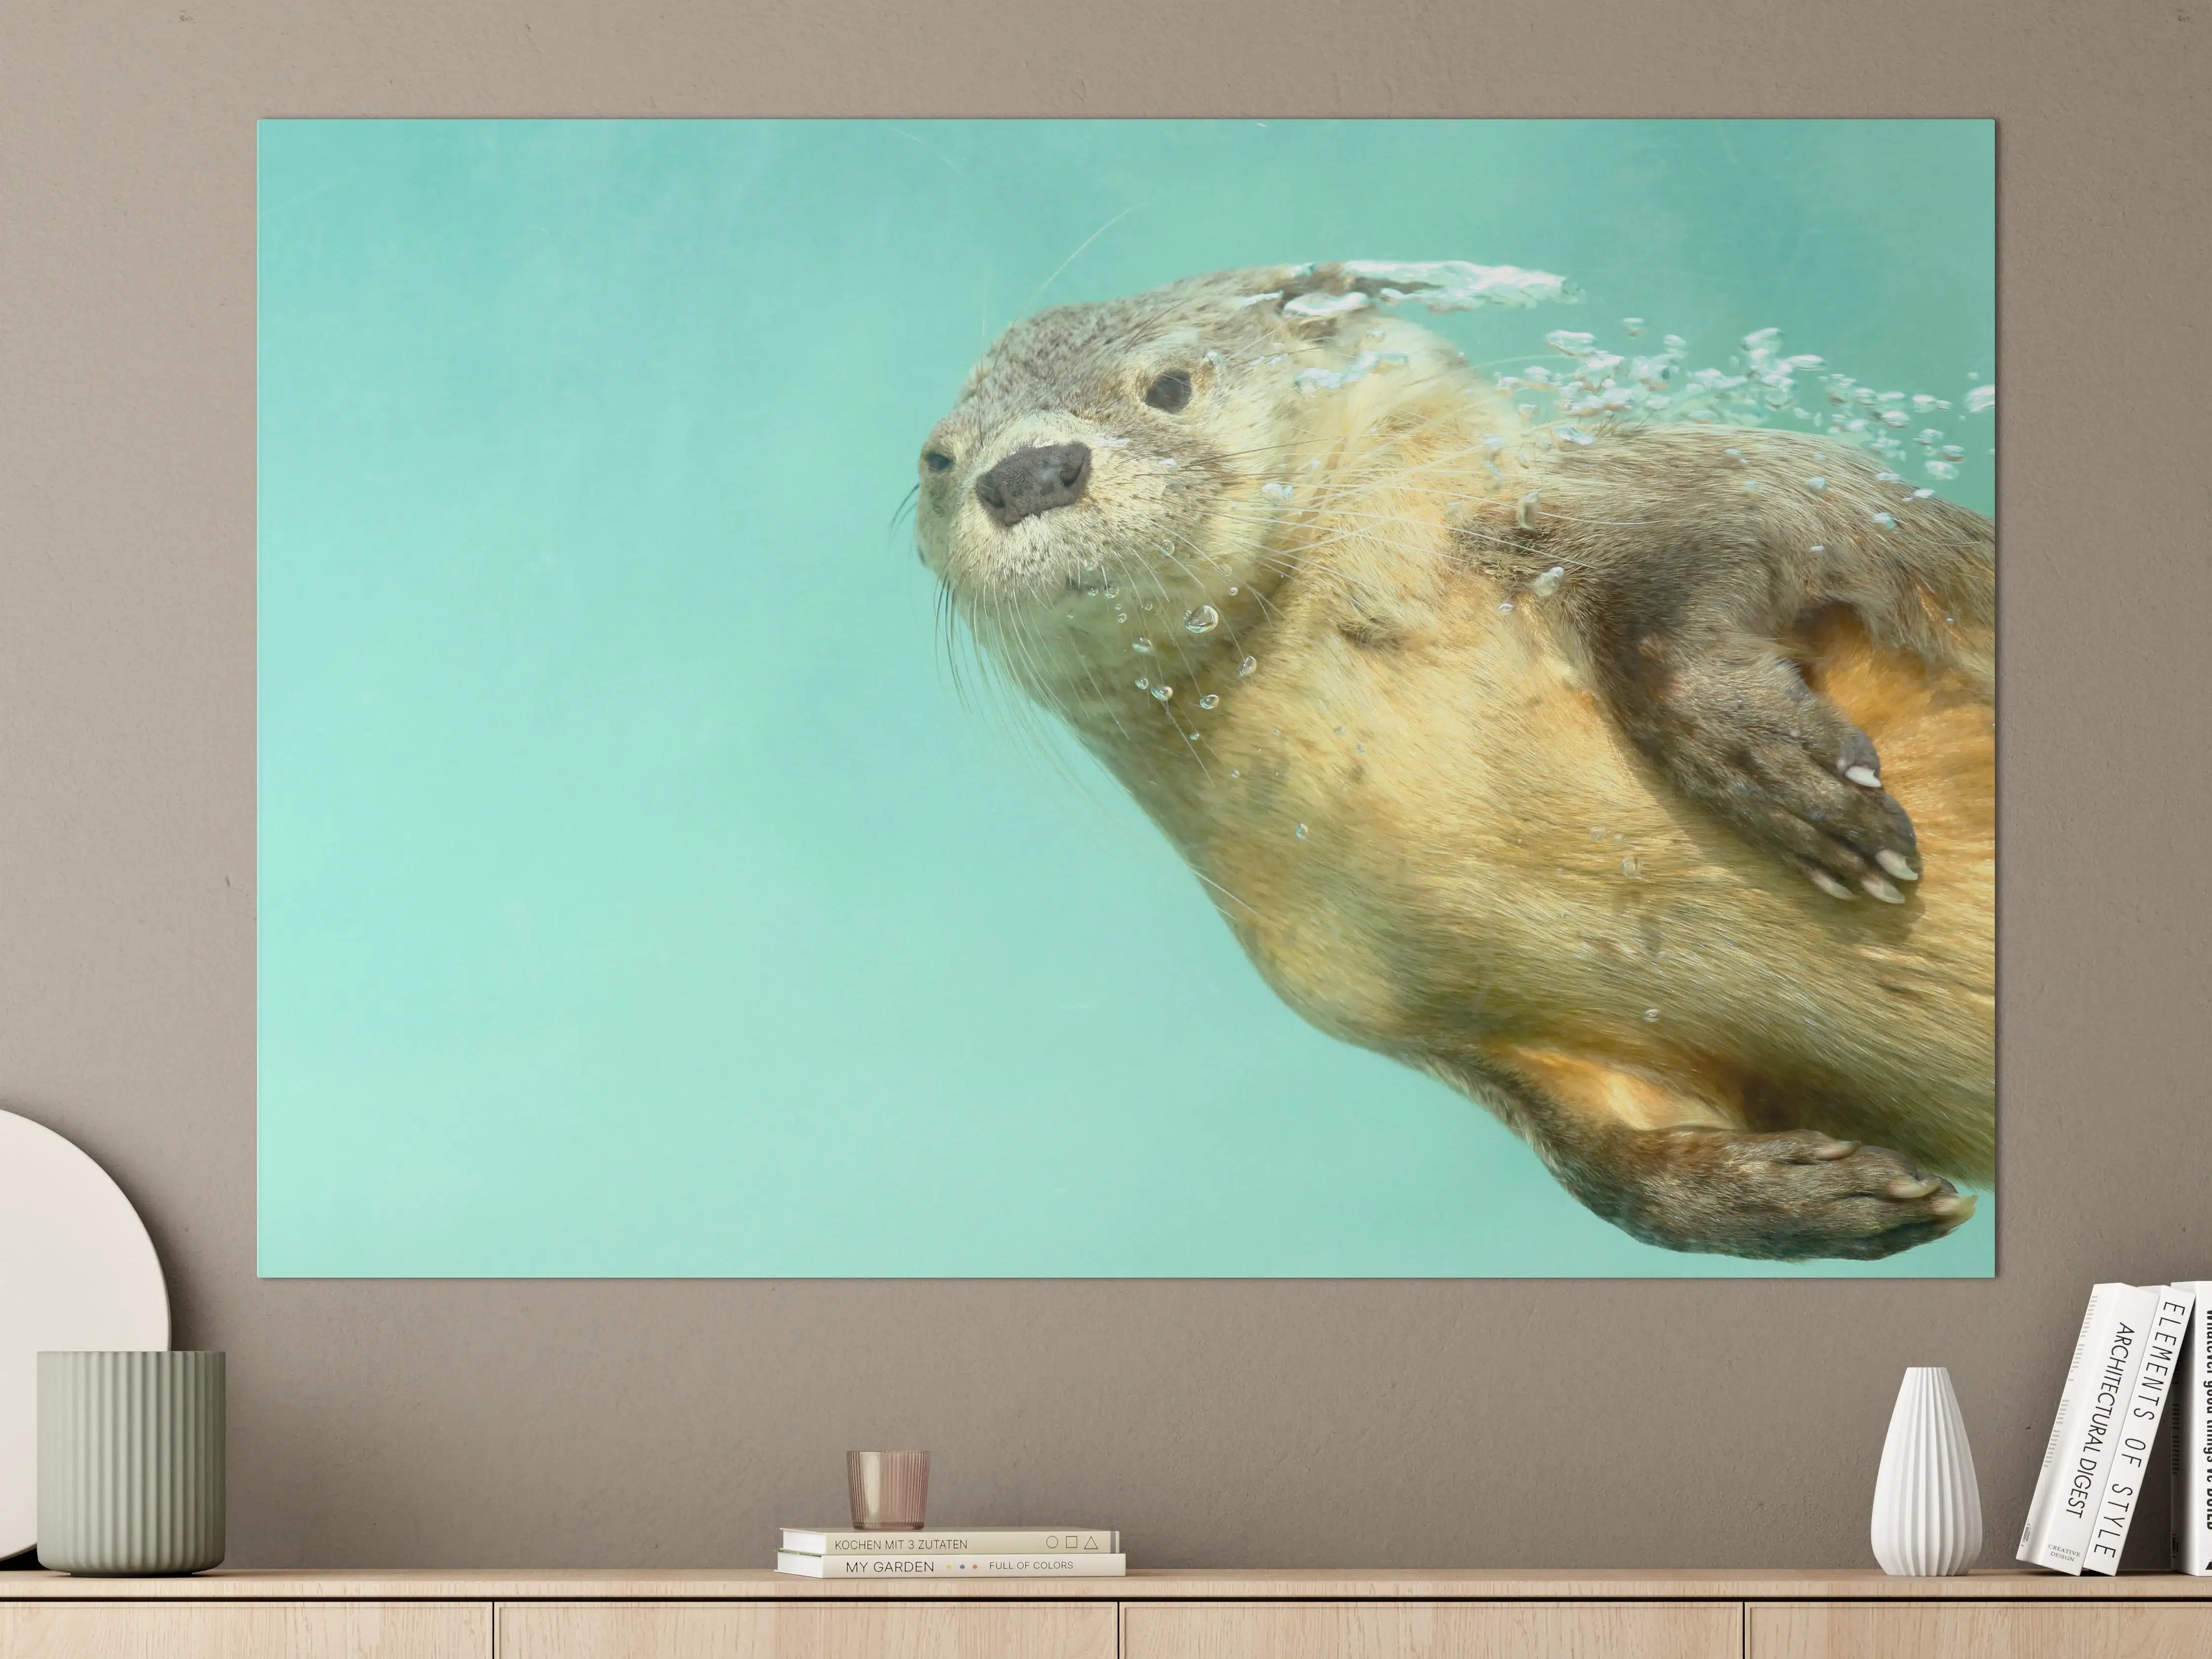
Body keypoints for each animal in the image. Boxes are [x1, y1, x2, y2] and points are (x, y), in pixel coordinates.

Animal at [915, 261, 1994, 1262]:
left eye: (1170, 385)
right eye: (937, 457)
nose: (1028, 473)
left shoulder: (1685, 484)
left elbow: (1733, 539)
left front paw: (1784, 776)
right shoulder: (1423, 1018)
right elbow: (1609, 1174)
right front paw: (1807, 1196)